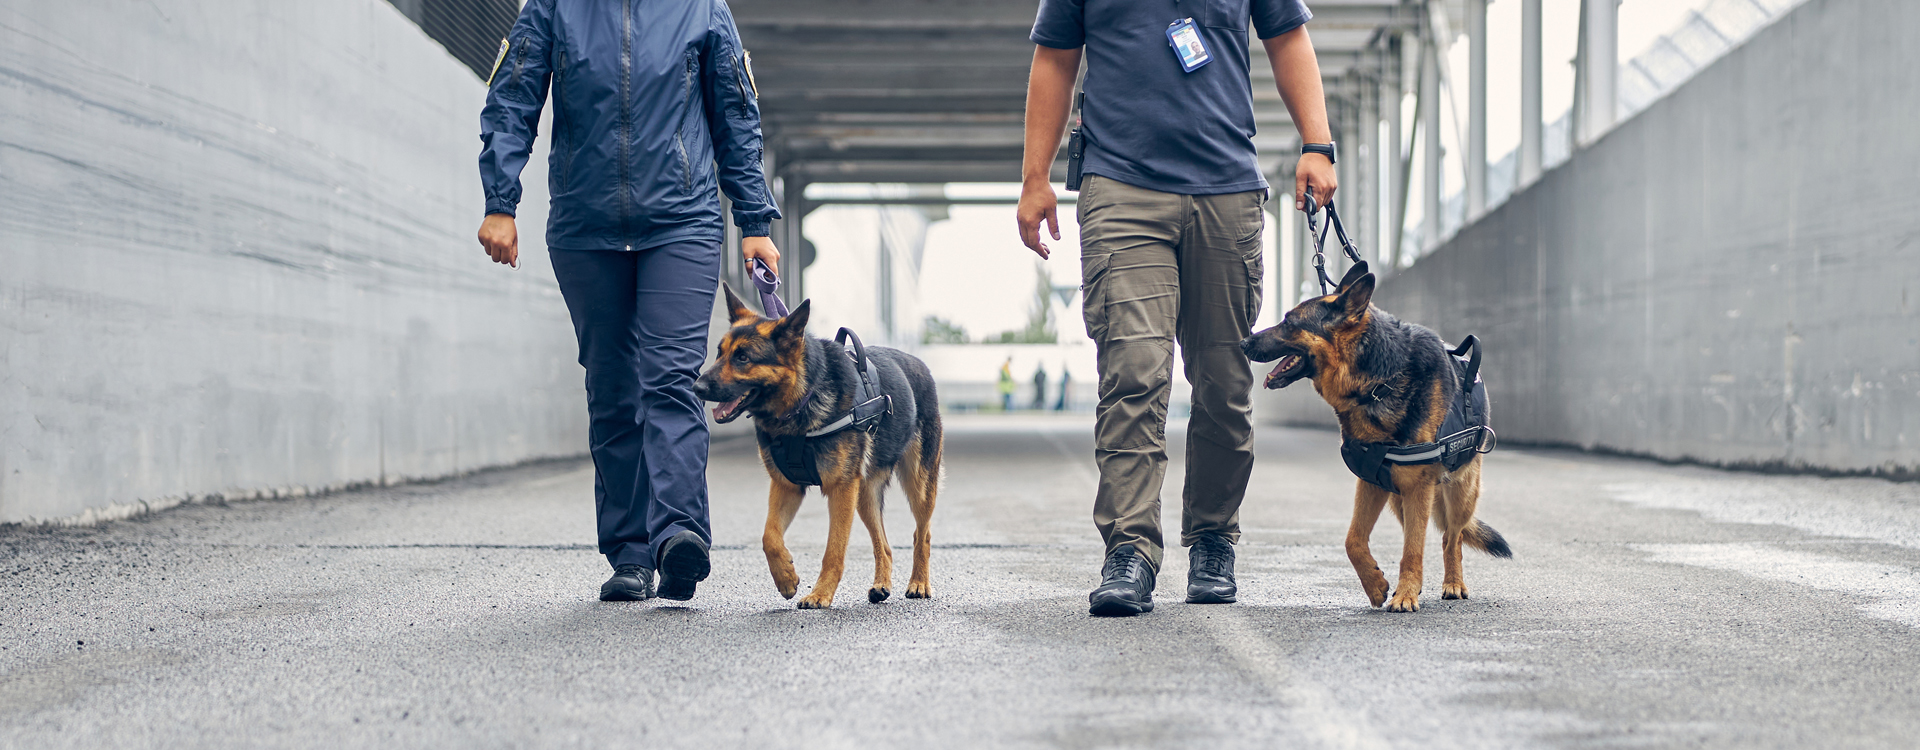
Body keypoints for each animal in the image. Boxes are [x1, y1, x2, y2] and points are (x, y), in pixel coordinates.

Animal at [691, 264, 944, 609]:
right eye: (719, 354)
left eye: (743, 357)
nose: (697, 387)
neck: (801, 401)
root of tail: (920, 364)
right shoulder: (787, 486)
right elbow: (769, 536)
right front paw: (786, 578)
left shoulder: (840, 490)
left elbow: (833, 550)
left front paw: (820, 594)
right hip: (864, 494)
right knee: (885, 543)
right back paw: (881, 585)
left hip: (917, 485)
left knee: (923, 533)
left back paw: (919, 582)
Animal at [1236, 198, 1505, 609]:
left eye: (1288, 322)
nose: (1243, 343)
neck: (1376, 380)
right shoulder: (1373, 481)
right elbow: (1353, 540)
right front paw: (1376, 584)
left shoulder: (1418, 488)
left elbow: (1414, 549)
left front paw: (1405, 595)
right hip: (1398, 497)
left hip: (1459, 490)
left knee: (1451, 536)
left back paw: (1453, 583)